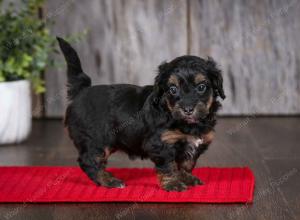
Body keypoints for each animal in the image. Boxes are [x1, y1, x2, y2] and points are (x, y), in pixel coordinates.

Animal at [56, 37, 225, 191]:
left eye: (202, 87)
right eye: (172, 89)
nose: (188, 109)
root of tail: (82, 90)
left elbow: (186, 164)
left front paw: (187, 178)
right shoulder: (161, 143)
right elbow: (168, 166)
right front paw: (173, 184)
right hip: (95, 139)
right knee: (88, 160)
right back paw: (109, 181)